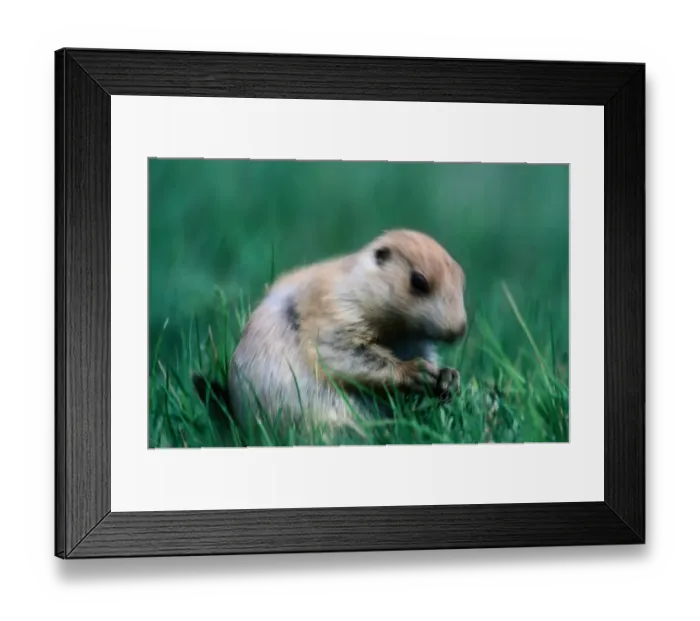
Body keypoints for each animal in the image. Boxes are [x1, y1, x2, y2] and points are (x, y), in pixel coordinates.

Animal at [194, 229, 467, 434]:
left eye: (462, 280)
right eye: (418, 281)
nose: (460, 329)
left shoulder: (415, 340)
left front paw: (448, 377)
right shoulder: (334, 311)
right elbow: (340, 350)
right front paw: (415, 371)